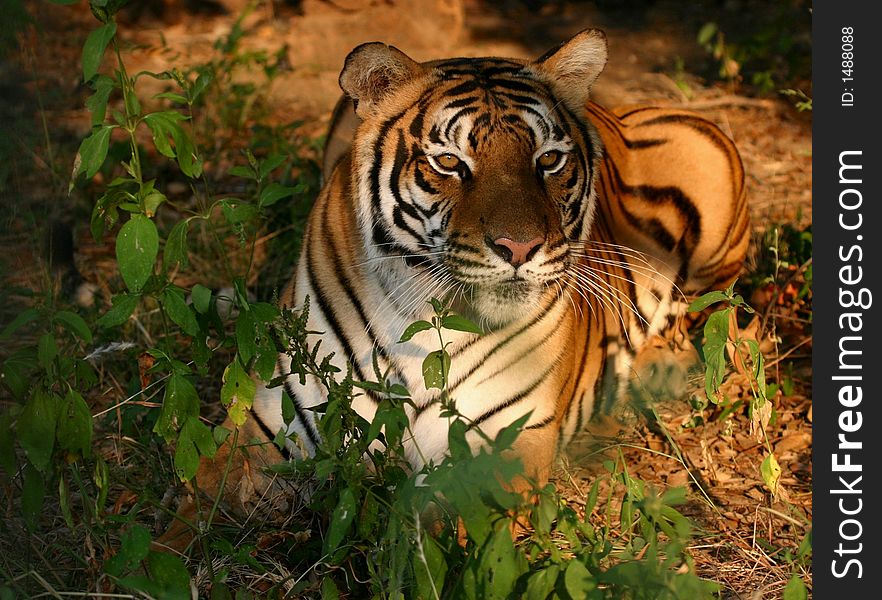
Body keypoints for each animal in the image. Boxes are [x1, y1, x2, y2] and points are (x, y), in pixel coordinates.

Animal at [156, 29, 744, 548]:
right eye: (449, 163)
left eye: (548, 160)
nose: (520, 248)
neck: (414, 317)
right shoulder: (265, 433)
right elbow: (180, 529)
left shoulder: (502, 446)